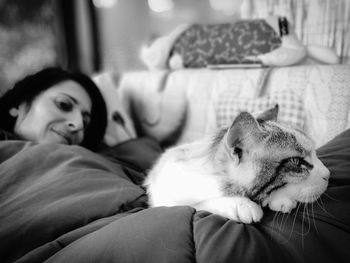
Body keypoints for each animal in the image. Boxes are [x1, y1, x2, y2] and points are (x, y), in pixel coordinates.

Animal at [144, 106, 330, 224]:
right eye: (297, 162)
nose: (328, 174)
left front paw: (279, 199)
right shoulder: (164, 197)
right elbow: (195, 205)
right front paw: (240, 205)